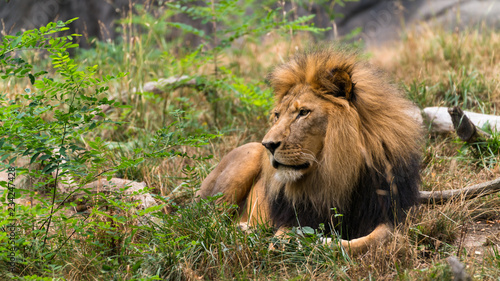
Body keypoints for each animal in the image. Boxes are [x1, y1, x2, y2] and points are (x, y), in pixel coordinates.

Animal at [195, 47, 422, 253]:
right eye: (277, 115)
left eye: (303, 112)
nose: (267, 144)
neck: (335, 172)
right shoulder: (294, 217)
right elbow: (283, 237)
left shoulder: (387, 212)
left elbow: (375, 238)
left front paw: (325, 243)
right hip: (242, 165)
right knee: (209, 223)